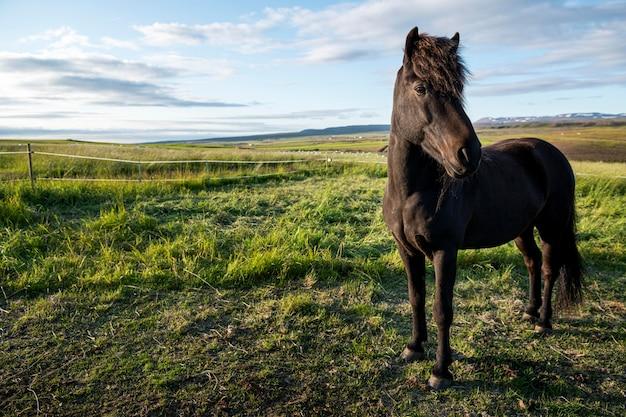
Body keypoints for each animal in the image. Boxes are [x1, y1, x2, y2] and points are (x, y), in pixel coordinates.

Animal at [380, 28, 580, 390]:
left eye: (459, 90)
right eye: (421, 88)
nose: (468, 153)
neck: (412, 192)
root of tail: (550, 152)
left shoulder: (445, 251)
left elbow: (441, 308)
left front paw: (440, 371)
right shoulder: (407, 250)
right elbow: (416, 297)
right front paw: (414, 348)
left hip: (552, 226)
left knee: (548, 268)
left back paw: (543, 322)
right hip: (522, 229)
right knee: (532, 262)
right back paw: (529, 311)